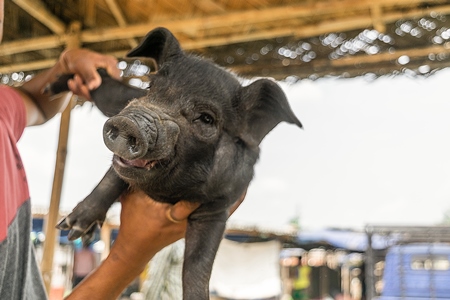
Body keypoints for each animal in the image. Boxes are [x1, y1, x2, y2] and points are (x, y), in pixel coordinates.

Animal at [56, 27, 302, 300]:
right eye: (151, 86)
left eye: (206, 118)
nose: (130, 122)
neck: (171, 194)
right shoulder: (123, 168)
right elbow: (111, 179)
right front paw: (70, 227)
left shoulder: (218, 205)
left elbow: (198, 264)